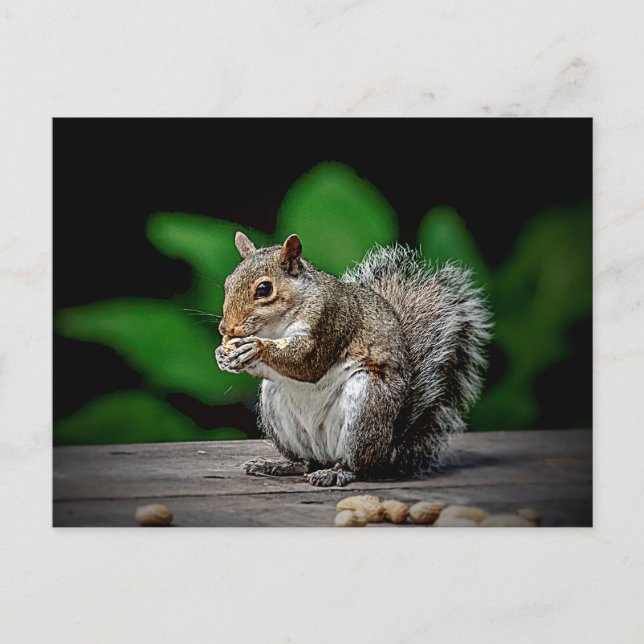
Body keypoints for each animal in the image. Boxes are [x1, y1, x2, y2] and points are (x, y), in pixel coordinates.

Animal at [215, 231, 492, 487]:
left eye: (264, 289)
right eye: (227, 283)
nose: (225, 328)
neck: (275, 328)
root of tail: (389, 446)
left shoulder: (331, 321)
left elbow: (307, 364)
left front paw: (255, 347)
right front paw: (223, 355)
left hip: (366, 406)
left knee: (358, 466)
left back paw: (336, 472)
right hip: (276, 405)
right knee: (305, 461)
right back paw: (279, 465)